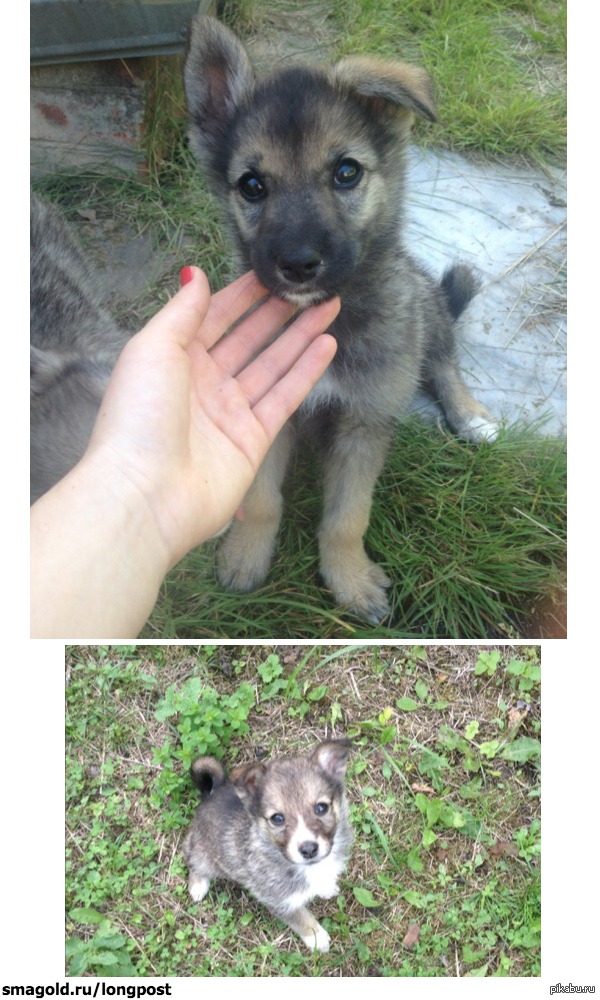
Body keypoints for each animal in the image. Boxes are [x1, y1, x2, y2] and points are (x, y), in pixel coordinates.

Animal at [183, 744, 352, 952]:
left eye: (321, 808)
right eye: (277, 818)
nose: (308, 849)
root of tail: (211, 792)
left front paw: (326, 886)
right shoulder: (280, 901)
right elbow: (301, 920)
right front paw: (317, 938)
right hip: (206, 855)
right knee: (190, 853)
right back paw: (198, 885)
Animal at [185, 15, 500, 620]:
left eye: (347, 172)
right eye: (252, 186)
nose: (299, 264)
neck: (325, 318)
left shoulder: (364, 421)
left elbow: (348, 517)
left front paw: (349, 580)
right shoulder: (270, 412)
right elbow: (261, 498)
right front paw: (246, 556)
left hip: (424, 307)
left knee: (443, 361)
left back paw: (471, 416)